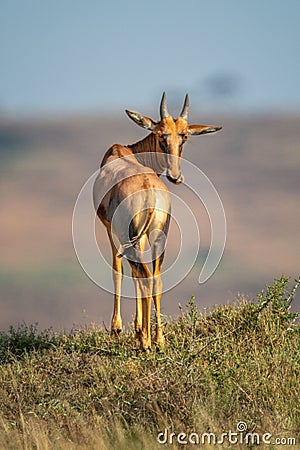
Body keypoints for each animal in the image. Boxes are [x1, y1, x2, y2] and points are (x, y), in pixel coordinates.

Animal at [94, 92, 223, 352]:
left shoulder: (112, 231)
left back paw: (145, 341)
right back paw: (159, 340)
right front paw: (138, 328)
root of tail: (150, 192)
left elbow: (118, 270)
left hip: (131, 236)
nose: (176, 176)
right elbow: (138, 275)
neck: (122, 152)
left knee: (143, 275)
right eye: (162, 135)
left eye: (184, 136)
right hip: (157, 236)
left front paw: (118, 329)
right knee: (156, 279)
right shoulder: (142, 237)